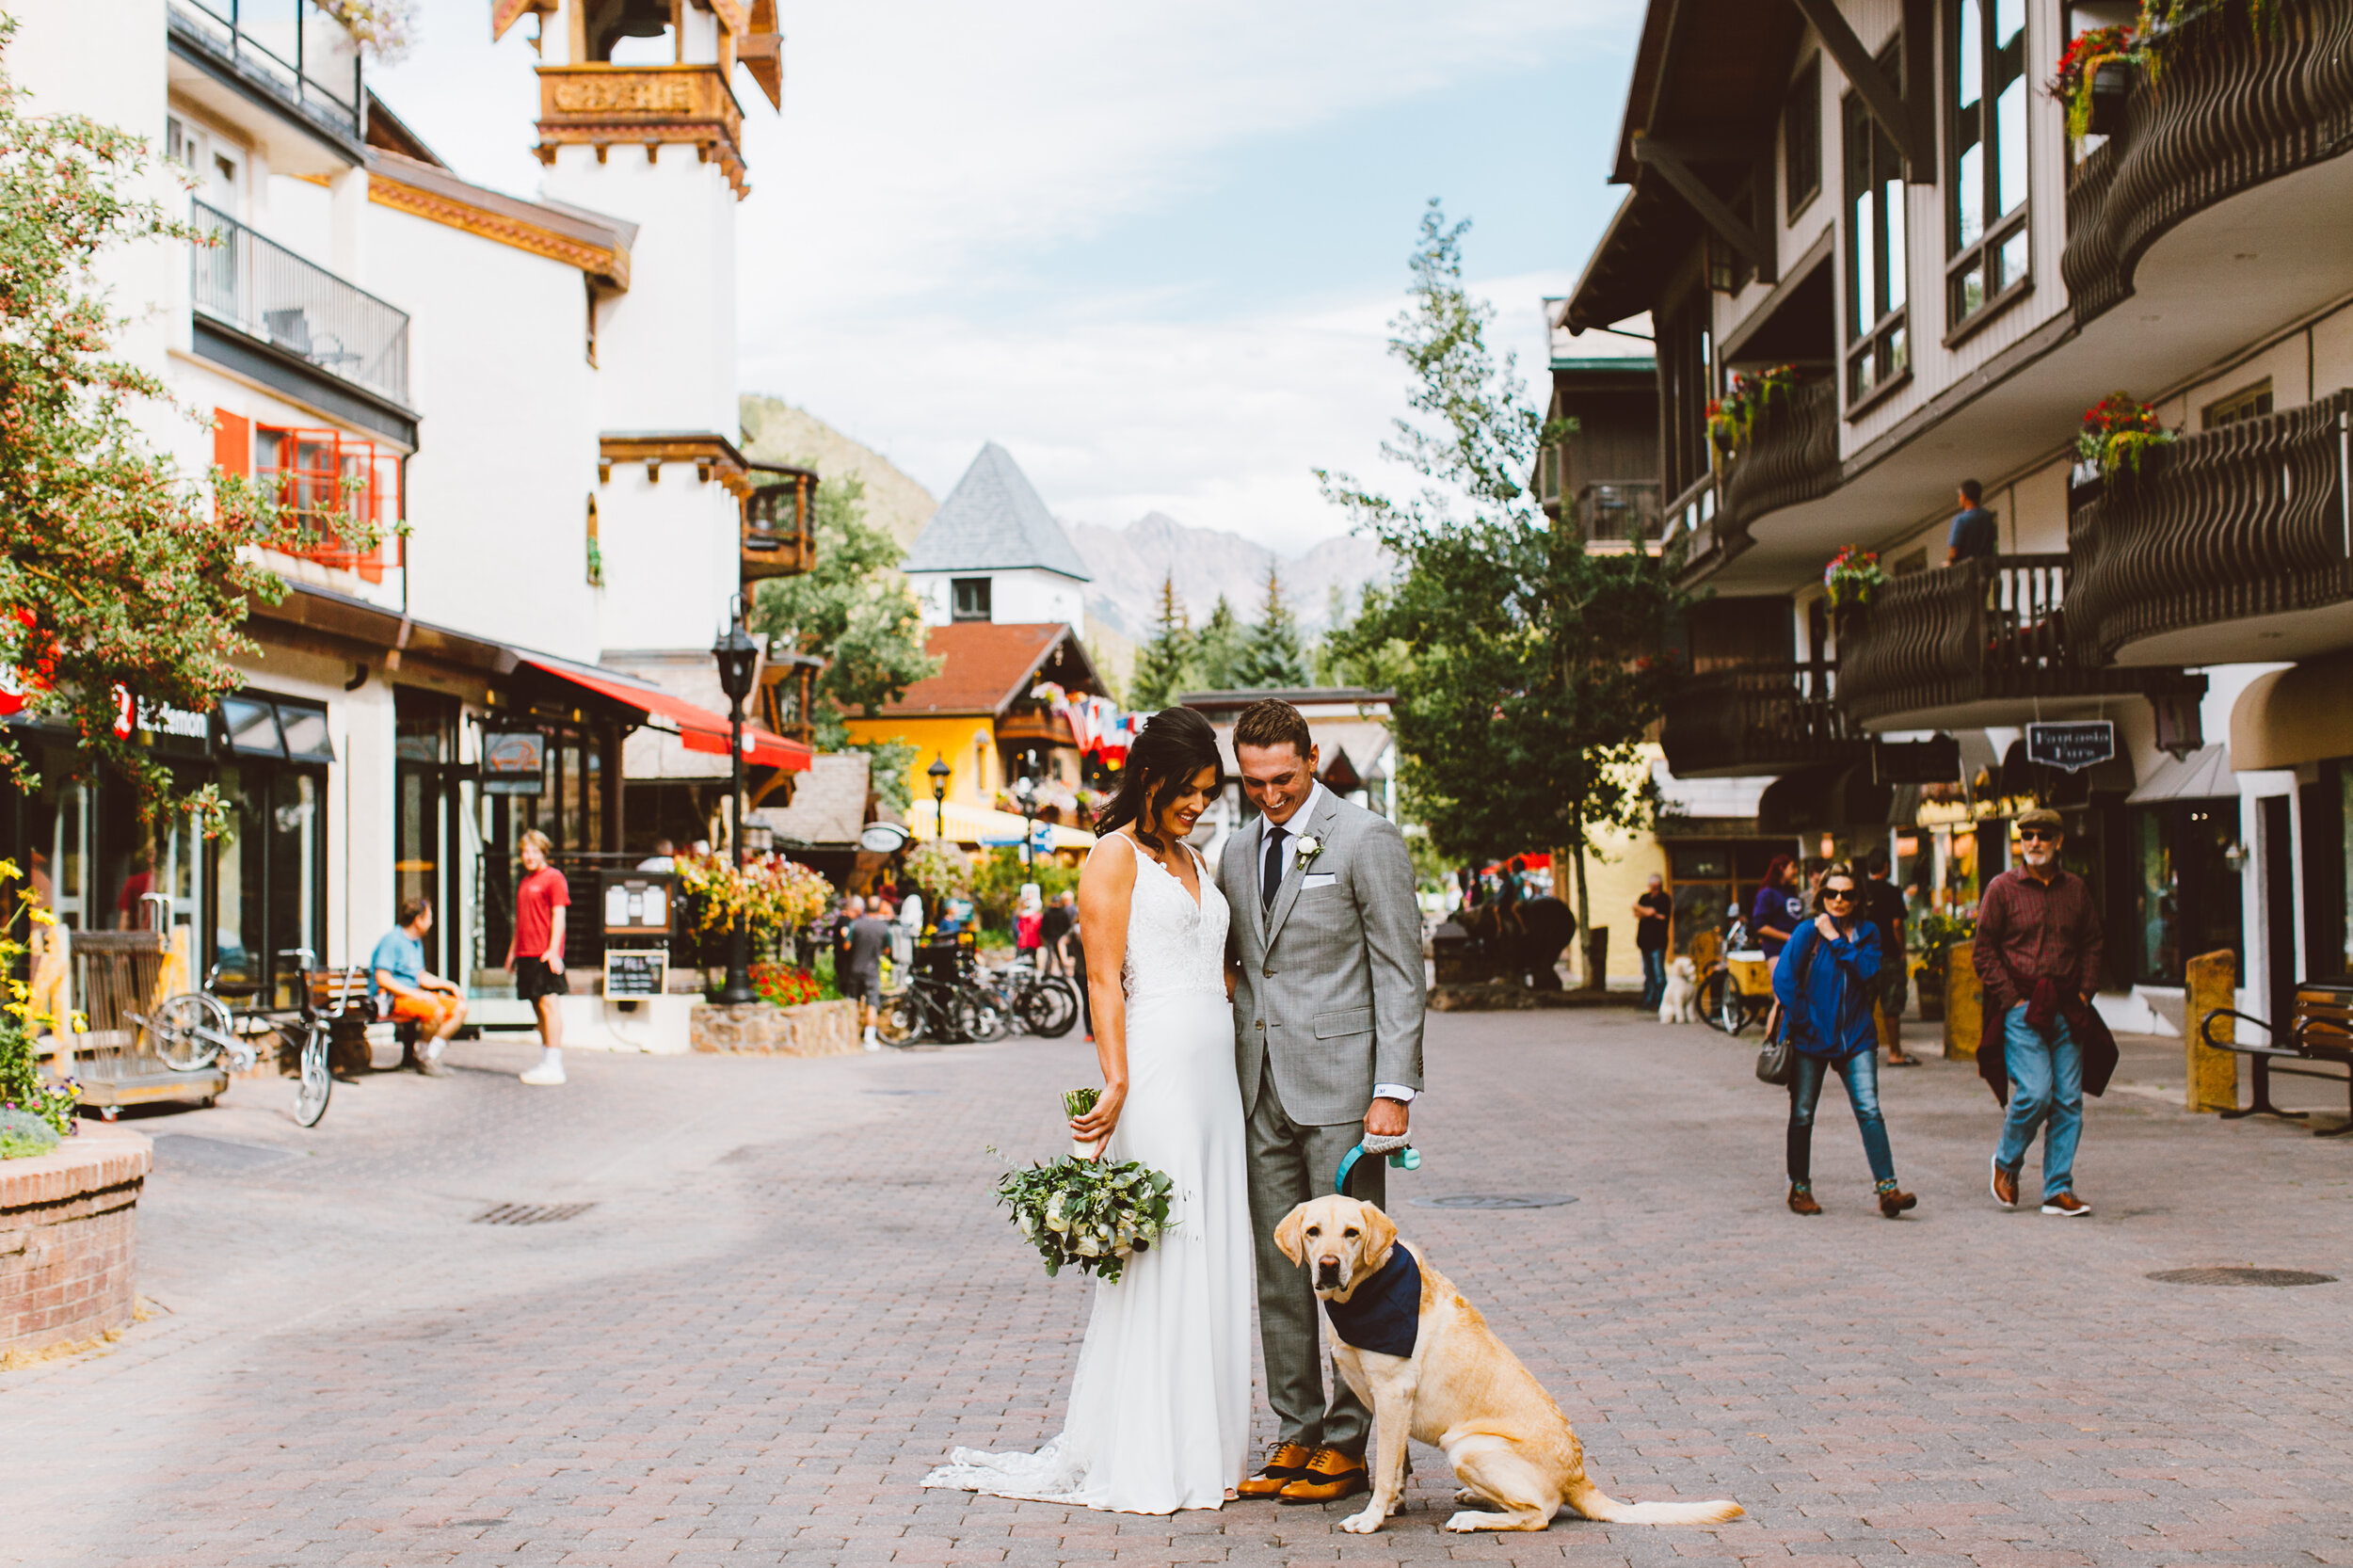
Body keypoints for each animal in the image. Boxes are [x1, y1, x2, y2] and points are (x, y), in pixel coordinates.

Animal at [1271, 1195, 1751, 1525]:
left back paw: (1473, 1518)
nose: (1328, 1266)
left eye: (1352, 1233)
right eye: (1313, 1232)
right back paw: (1477, 1500)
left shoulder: (1392, 1396)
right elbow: (1399, 1465)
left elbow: (1387, 1469)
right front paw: (1392, 1507)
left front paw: (1371, 1518)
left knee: (1540, 1514)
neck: (1364, 1294)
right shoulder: (1390, 1406)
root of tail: (1578, 1476)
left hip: (1466, 1445)